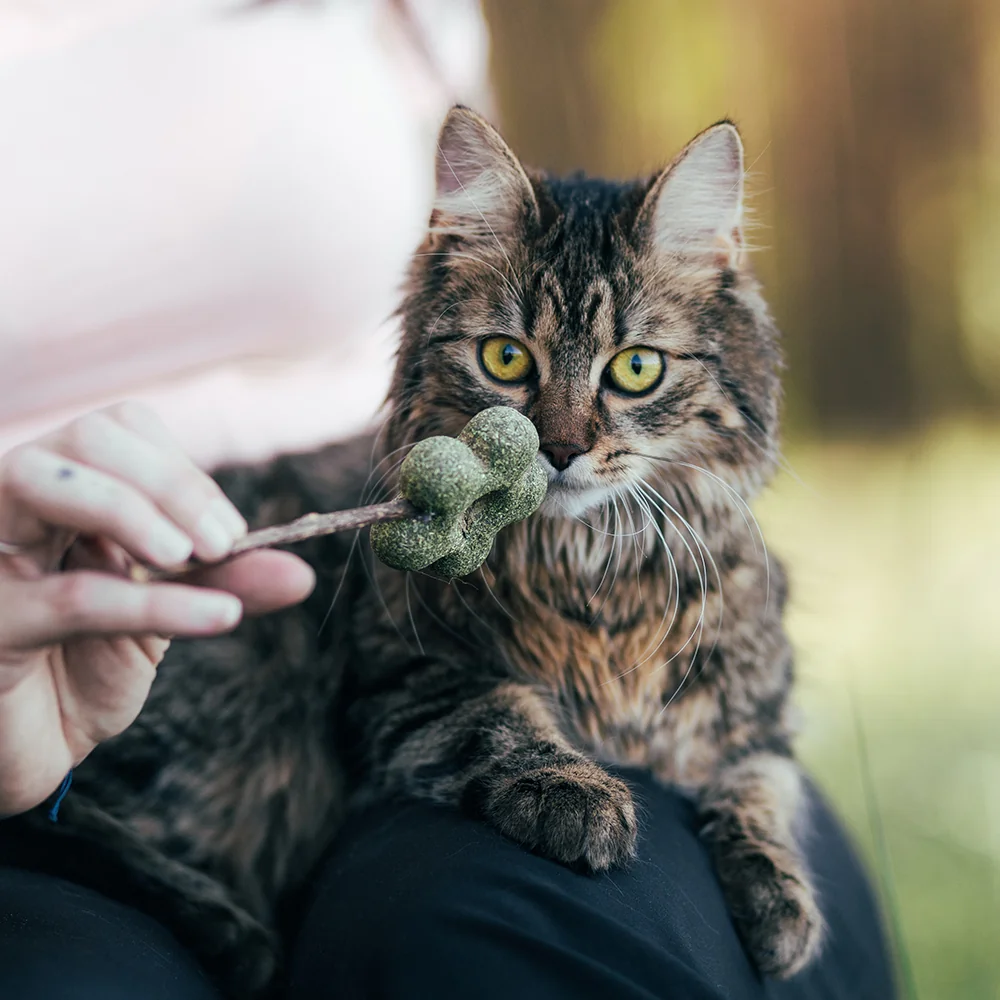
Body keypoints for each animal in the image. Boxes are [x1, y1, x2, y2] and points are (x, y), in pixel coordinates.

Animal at [3, 105, 824, 996]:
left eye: (637, 369)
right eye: (506, 358)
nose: (561, 451)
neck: (591, 571)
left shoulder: (755, 717)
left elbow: (763, 790)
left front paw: (783, 903)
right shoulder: (402, 675)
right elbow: (497, 714)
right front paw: (574, 791)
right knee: (56, 814)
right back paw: (235, 933)